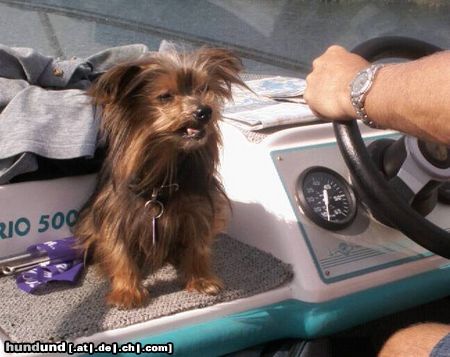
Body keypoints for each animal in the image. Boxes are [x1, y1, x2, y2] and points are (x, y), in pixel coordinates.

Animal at [74, 44, 244, 308]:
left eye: (203, 89)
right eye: (165, 96)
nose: (205, 110)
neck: (163, 172)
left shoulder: (198, 210)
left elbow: (198, 246)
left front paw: (201, 279)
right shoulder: (115, 214)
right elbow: (119, 250)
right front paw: (127, 291)